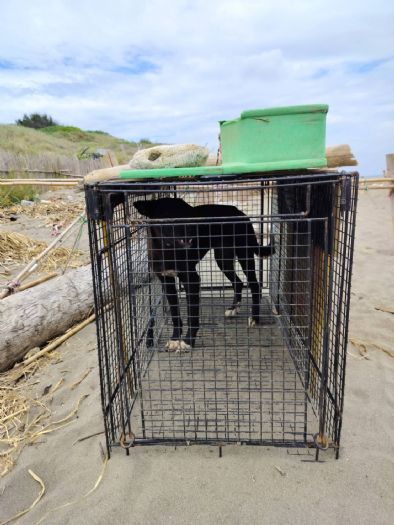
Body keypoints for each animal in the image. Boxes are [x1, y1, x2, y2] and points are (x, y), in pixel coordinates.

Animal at [133, 196, 274, 352]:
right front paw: (175, 338)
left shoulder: (192, 279)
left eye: (187, 212)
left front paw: (187, 341)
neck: (168, 250)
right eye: (167, 214)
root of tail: (238, 211)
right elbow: (175, 313)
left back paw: (255, 317)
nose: (192, 228)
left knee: (254, 285)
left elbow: (192, 315)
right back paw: (233, 308)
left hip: (244, 254)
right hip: (223, 259)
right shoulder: (166, 280)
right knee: (238, 282)